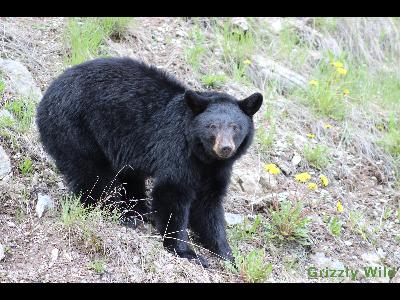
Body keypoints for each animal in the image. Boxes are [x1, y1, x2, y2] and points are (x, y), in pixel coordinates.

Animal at [36, 56, 262, 268]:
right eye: (212, 126)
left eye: (235, 127)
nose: (225, 148)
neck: (204, 157)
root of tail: (46, 95)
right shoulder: (176, 149)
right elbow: (172, 191)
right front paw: (187, 252)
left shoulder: (218, 169)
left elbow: (208, 205)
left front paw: (227, 253)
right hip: (76, 128)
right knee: (93, 175)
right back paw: (121, 214)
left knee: (127, 175)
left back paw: (141, 210)